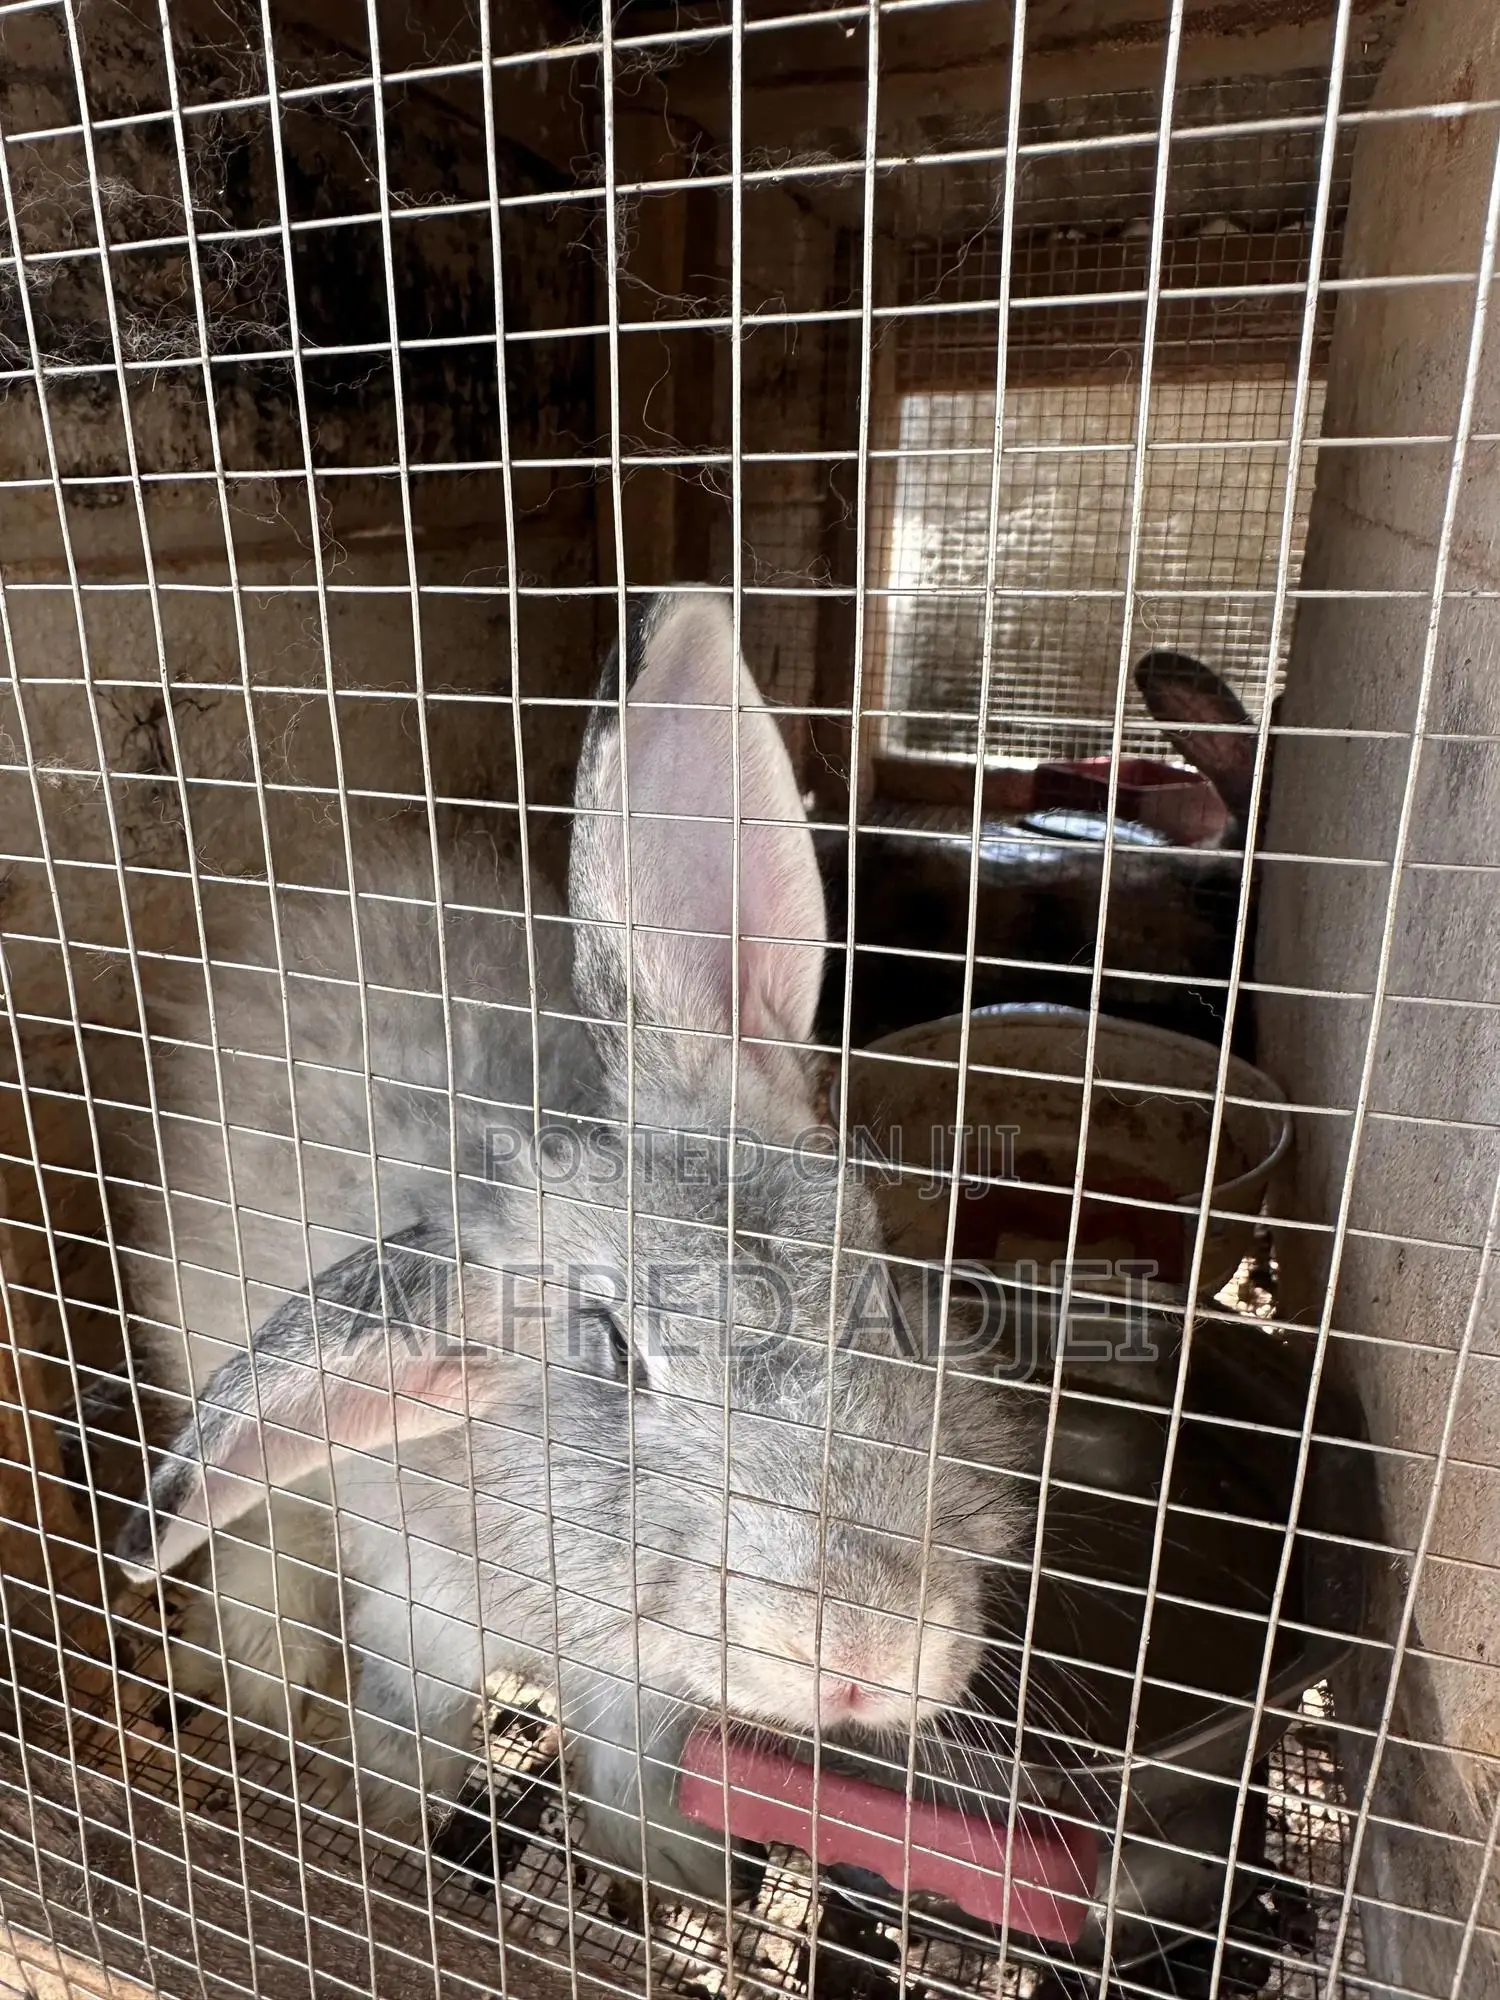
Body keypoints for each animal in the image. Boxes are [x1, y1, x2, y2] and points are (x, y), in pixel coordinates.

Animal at [115, 593, 1037, 1900]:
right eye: (614, 1348)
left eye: (879, 1296)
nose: (861, 1651)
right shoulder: (418, 1607)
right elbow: (410, 1722)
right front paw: (386, 1840)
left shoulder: (640, 1692)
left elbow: (631, 1775)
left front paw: (671, 1880)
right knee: (248, 1532)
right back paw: (251, 1667)